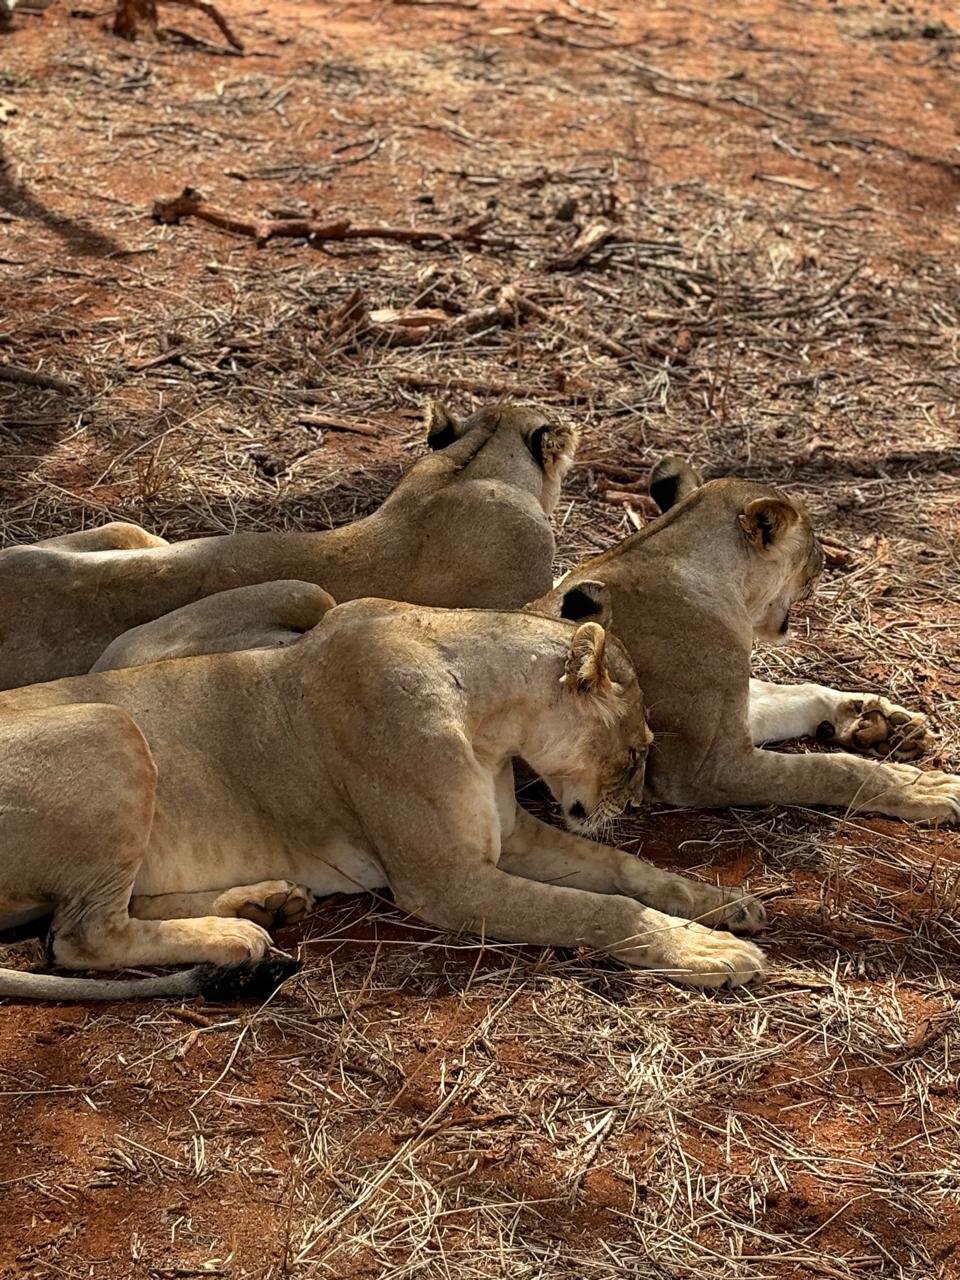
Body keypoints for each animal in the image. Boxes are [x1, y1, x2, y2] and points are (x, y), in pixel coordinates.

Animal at [0, 601, 766, 1001]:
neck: (488, 720)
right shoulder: (445, 883)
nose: (634, 809)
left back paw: (261, 905)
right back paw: (236, 937)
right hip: (110, 726)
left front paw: (720, 903)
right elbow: (600, 910)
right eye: (635, 754)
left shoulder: (511, 839)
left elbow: (626, 872)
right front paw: (705, 948)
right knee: (76, 937)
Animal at [531, 461, 960, 822]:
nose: (825, 559)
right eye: (812, 541)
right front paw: (921, 787)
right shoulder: (703, 770)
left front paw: (878, 718)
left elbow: (796, 695)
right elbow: (827, 770)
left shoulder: (733, 705)